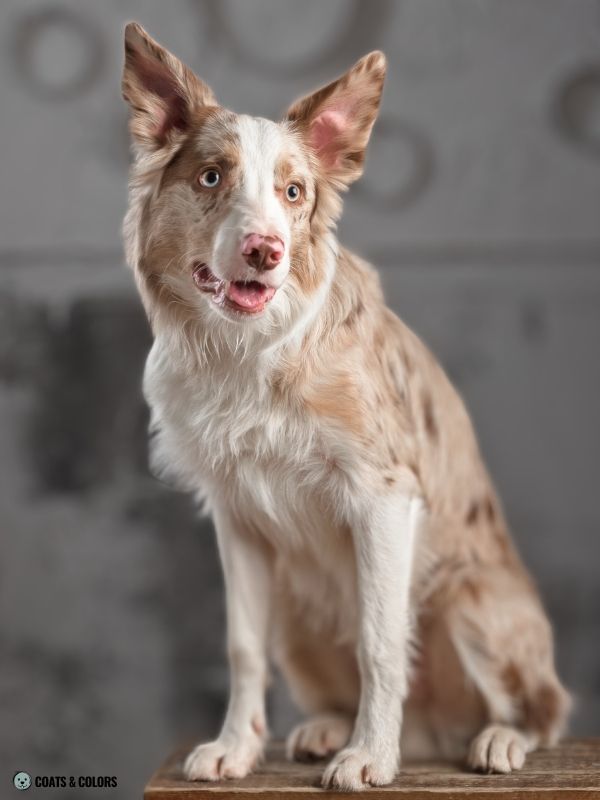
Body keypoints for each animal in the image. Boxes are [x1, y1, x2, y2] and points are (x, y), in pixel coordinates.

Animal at [120, 21, 572, 792]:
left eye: (294, 191)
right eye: (211, 177)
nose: (265, 251)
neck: (247, 351)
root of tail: (433, 733)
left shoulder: (383, 496)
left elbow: (380, 641)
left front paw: (368, 758)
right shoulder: (237, 519)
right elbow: (242, 647)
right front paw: (235, 749)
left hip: (472, 599)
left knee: (546, 710)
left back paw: (492, 739)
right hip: (297, 617)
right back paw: (328, 728)